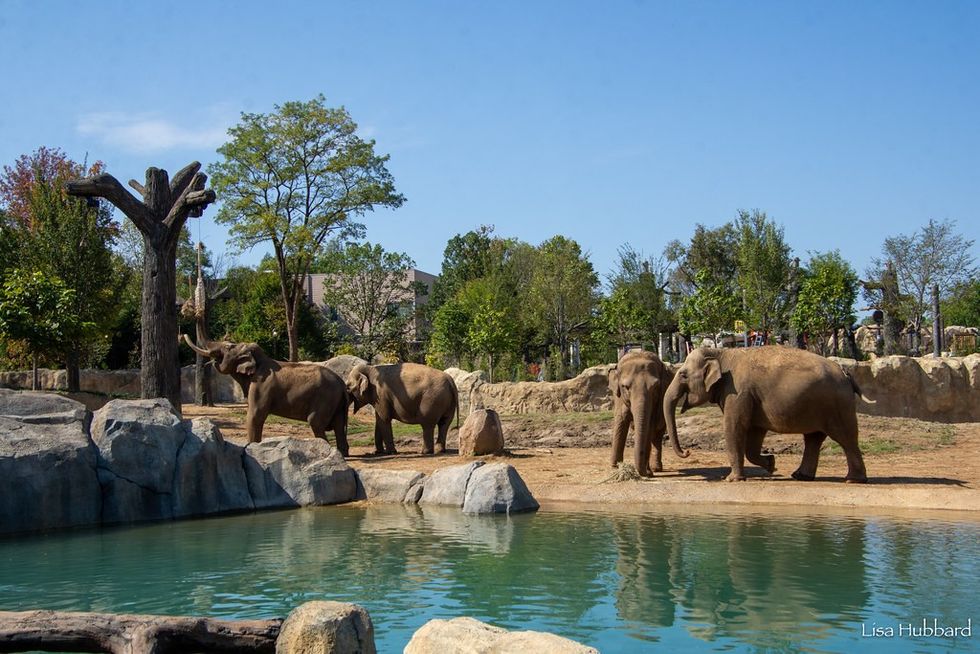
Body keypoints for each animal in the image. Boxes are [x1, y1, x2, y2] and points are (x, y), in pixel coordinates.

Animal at [184, 336, 350, 454]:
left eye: (227, 346)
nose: (182, 334)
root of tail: (342, 384)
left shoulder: (261, 385)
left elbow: (255, 415)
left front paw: (251, 448)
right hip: (337, 402)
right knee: (338, 425)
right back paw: (342, 454)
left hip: (325, 398)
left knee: (316, 422)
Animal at [663, 346, 869, 483]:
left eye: (683, 375)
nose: (687, 451)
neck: (721, 353)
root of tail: (847, 375)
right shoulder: (751, 399)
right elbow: (754, 435)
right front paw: (771, 464)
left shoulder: (738, 392)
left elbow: (734, 426)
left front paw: (732, 479)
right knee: (813, 439)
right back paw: (801, 476)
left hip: (838, 405)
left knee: (845, 438)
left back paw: (853, 480)